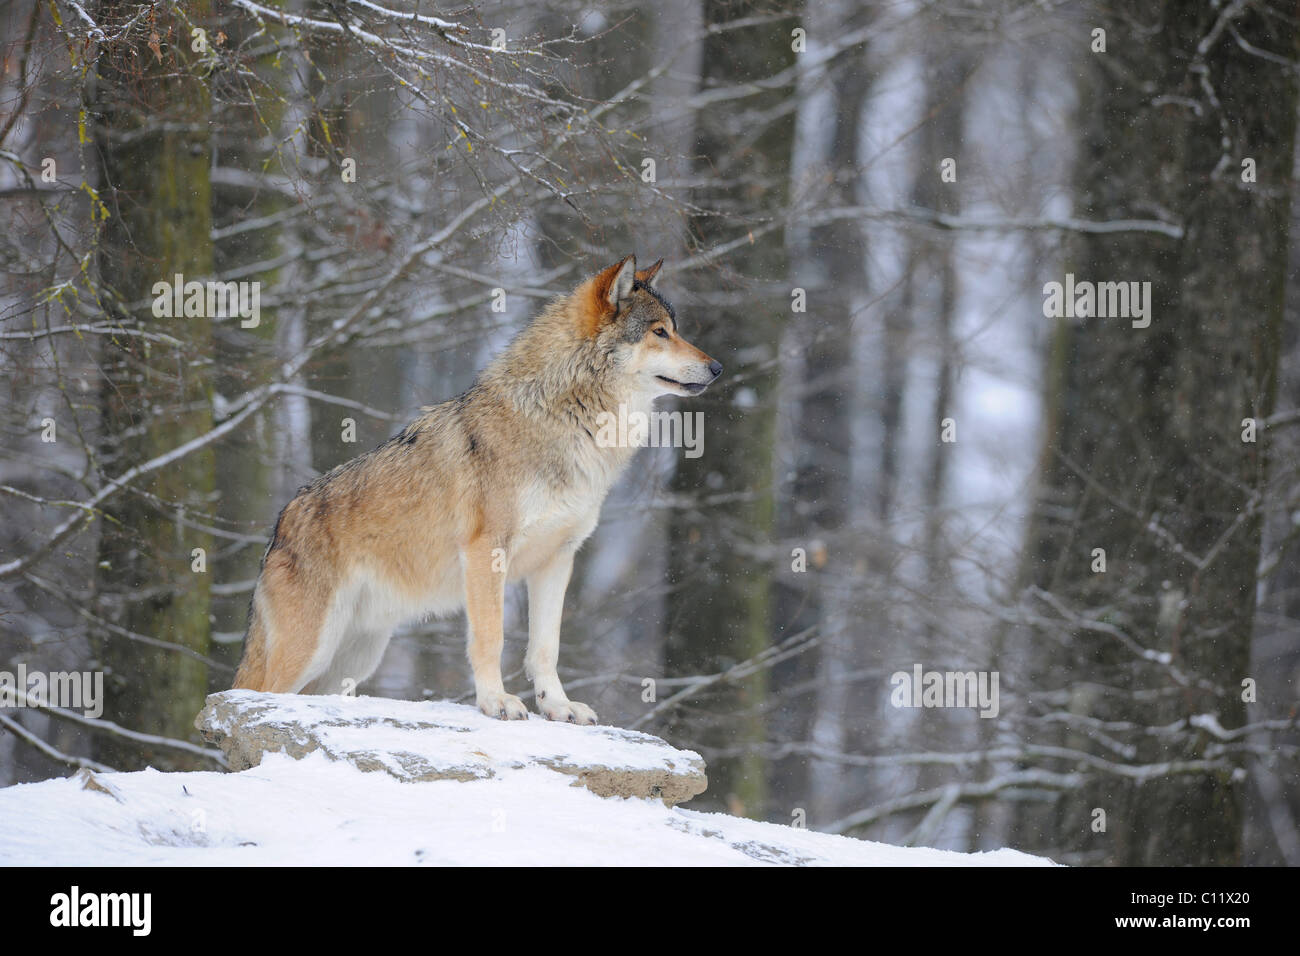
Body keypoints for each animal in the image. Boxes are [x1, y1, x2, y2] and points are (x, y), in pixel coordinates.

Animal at [232, 255, 722, 724]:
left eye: (675, 329)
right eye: (660, 332)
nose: (718, 367)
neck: (569, 420)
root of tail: (280, 525)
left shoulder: (558, 559)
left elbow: (546, 648)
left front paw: (558, 707)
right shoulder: (488, 551)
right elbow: (492, 637)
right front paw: (495, 702)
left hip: (352, 660)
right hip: (310, 652)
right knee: (247, 695)